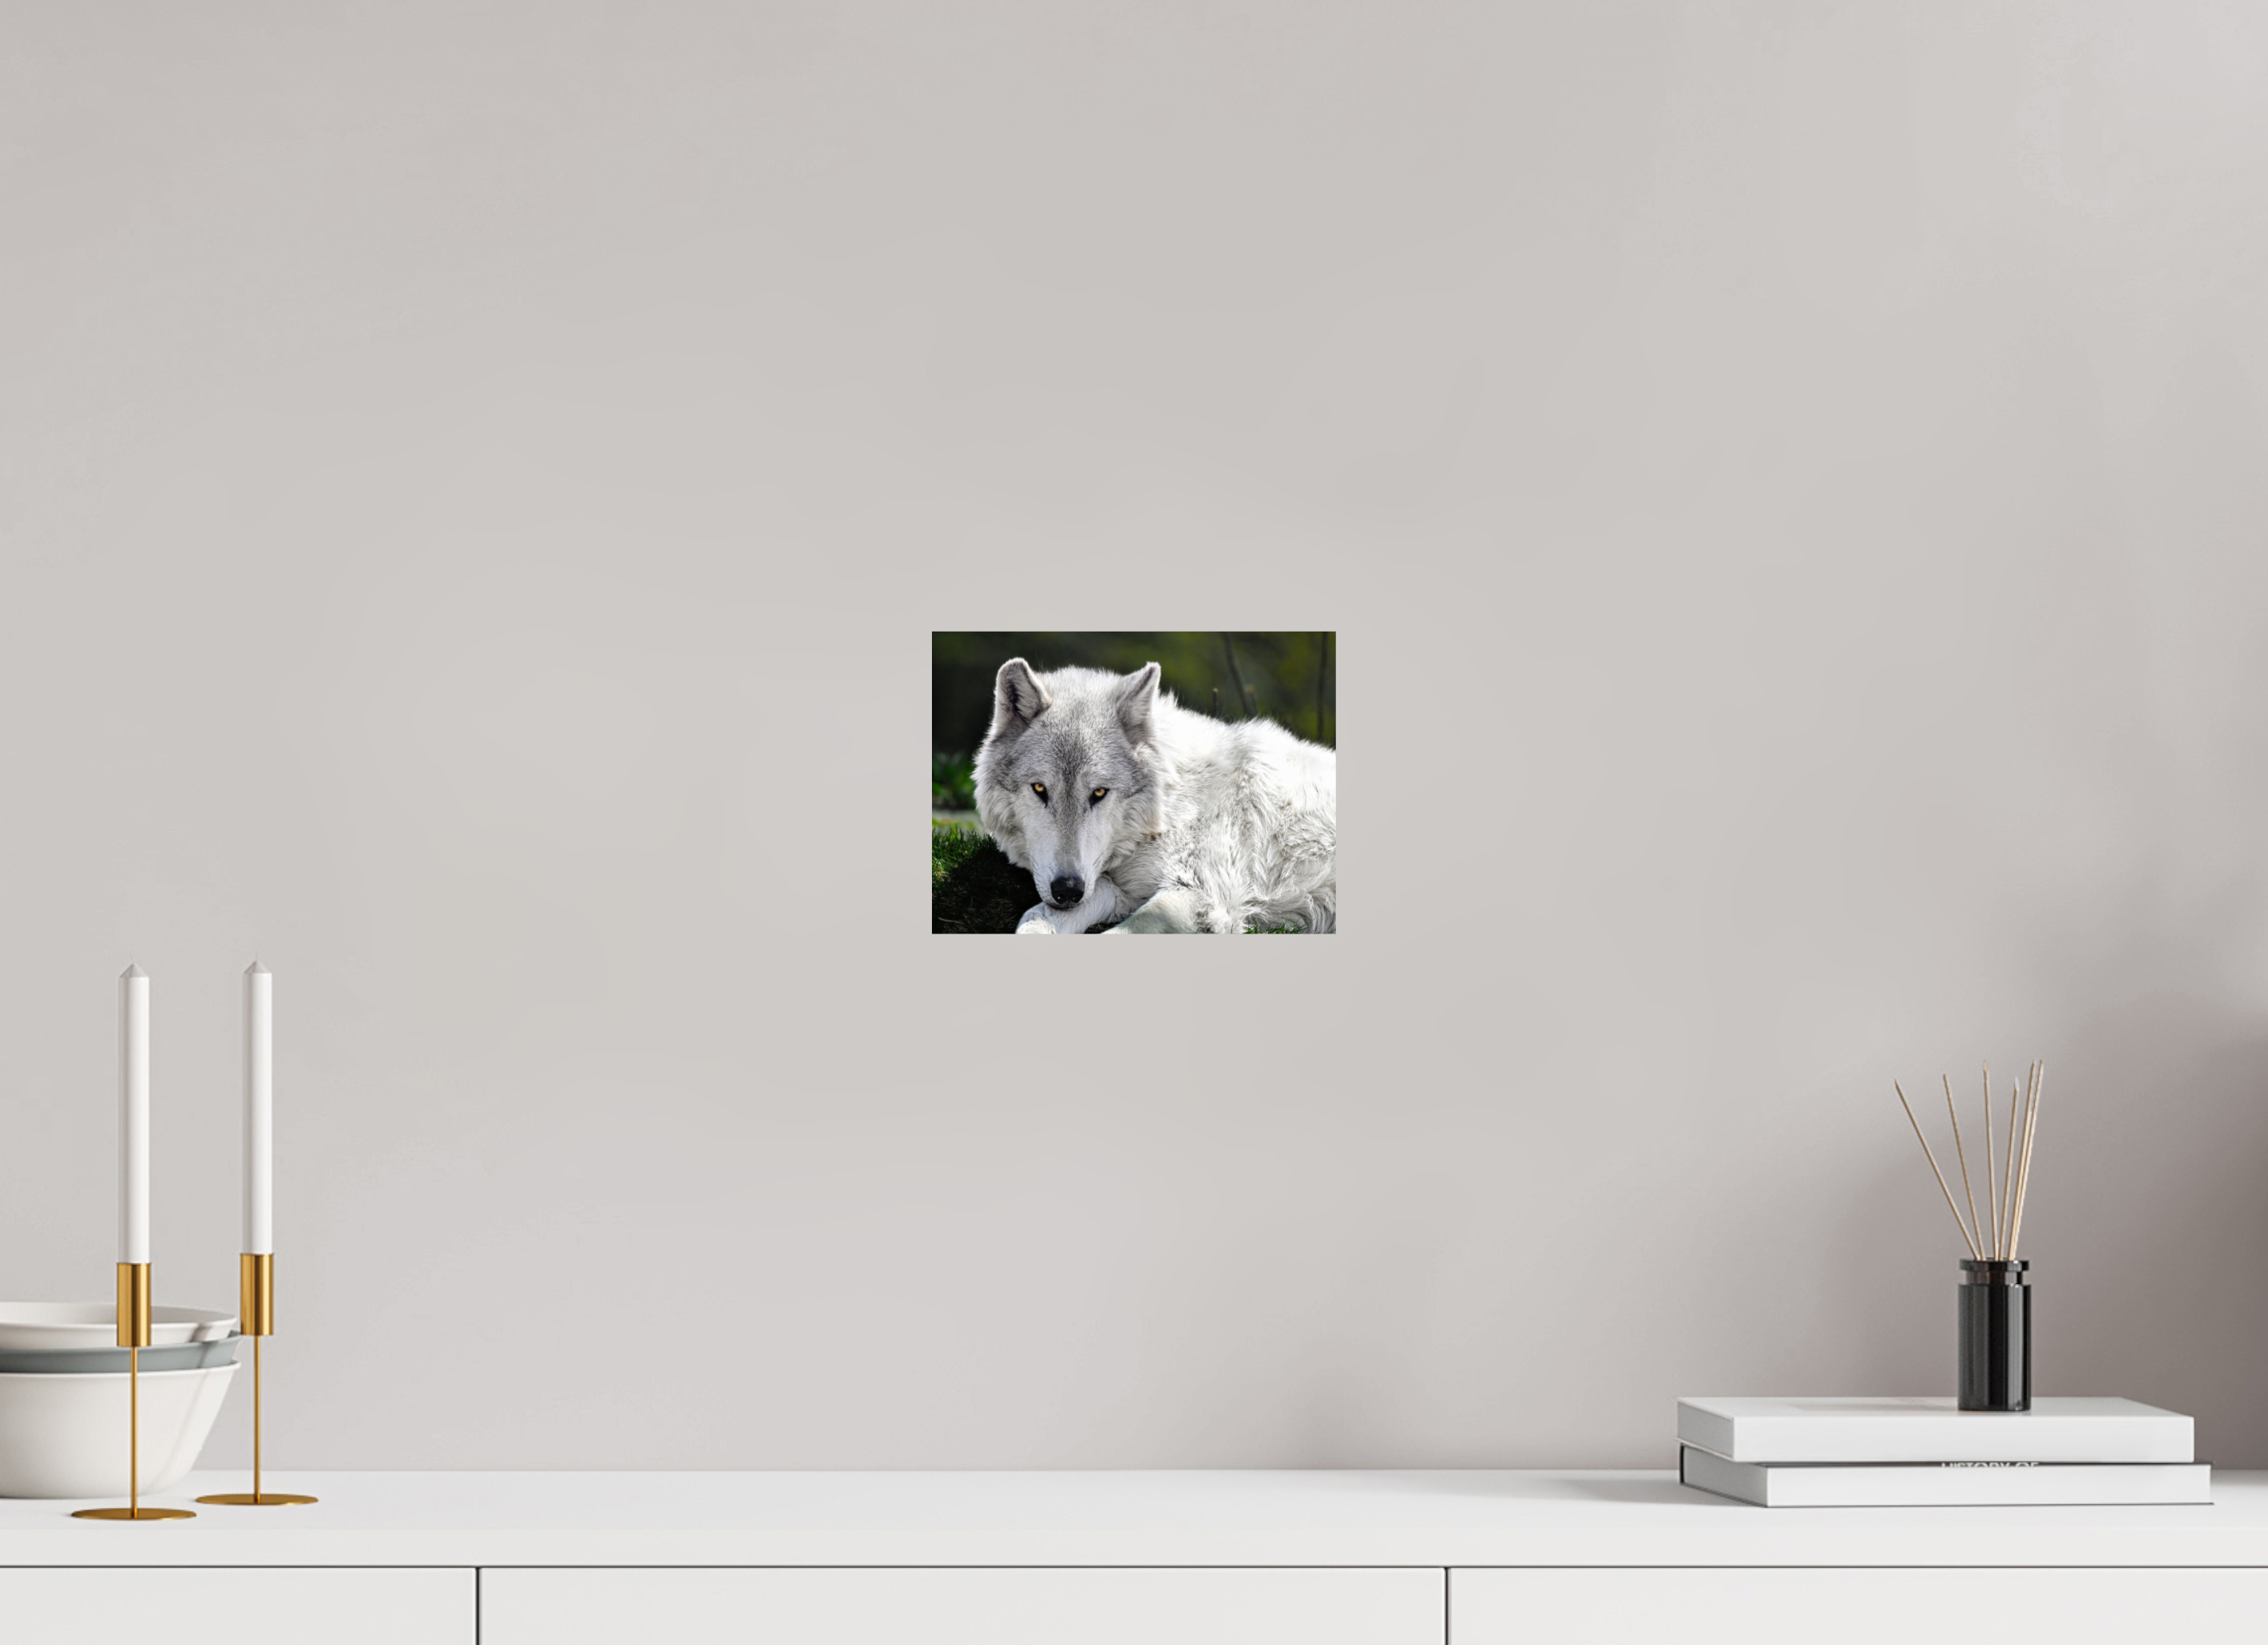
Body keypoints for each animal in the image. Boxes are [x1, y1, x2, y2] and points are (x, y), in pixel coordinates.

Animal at [973, 657, 1336, 934]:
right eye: (1039, 789)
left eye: (1099, 792)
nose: (1067, 891)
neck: (1169, 810)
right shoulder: (1115, 887)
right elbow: (1036, 917)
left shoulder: (1202, 898)